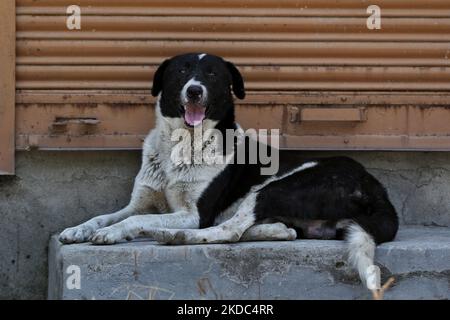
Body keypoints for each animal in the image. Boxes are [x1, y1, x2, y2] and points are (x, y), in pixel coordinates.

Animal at [59, 53, 398, 292]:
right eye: (181, 71)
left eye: (212, 74)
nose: (194, 91)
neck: (182, 144)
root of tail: (375, 187)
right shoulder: (140, 202)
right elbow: (107, 215)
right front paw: (79, 229)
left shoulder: (194, 214)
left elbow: (135, 221)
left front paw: (115, 233)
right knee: (275, 230)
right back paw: (272, 229)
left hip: (277, 187)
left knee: (229, 230)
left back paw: (173, 236)